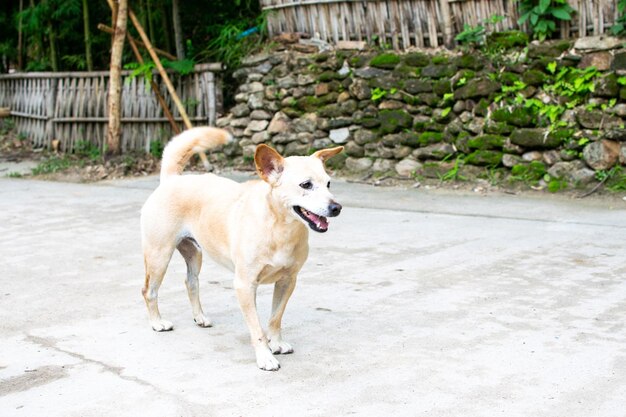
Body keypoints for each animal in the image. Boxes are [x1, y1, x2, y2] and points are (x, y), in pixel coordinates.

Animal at [140, 127, 344, 370]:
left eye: (329, 184)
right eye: (306, 185)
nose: (337, 207)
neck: (280, 229)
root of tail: (172, 180)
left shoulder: (287, 281)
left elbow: (275, 318)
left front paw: (276, 343)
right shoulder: (245, 285)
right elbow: (256, 327)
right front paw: (265, 356)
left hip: (195, 254)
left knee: (191, 283)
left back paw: (200, 317)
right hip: (159, 256)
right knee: (149, 291)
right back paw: (156, 322)